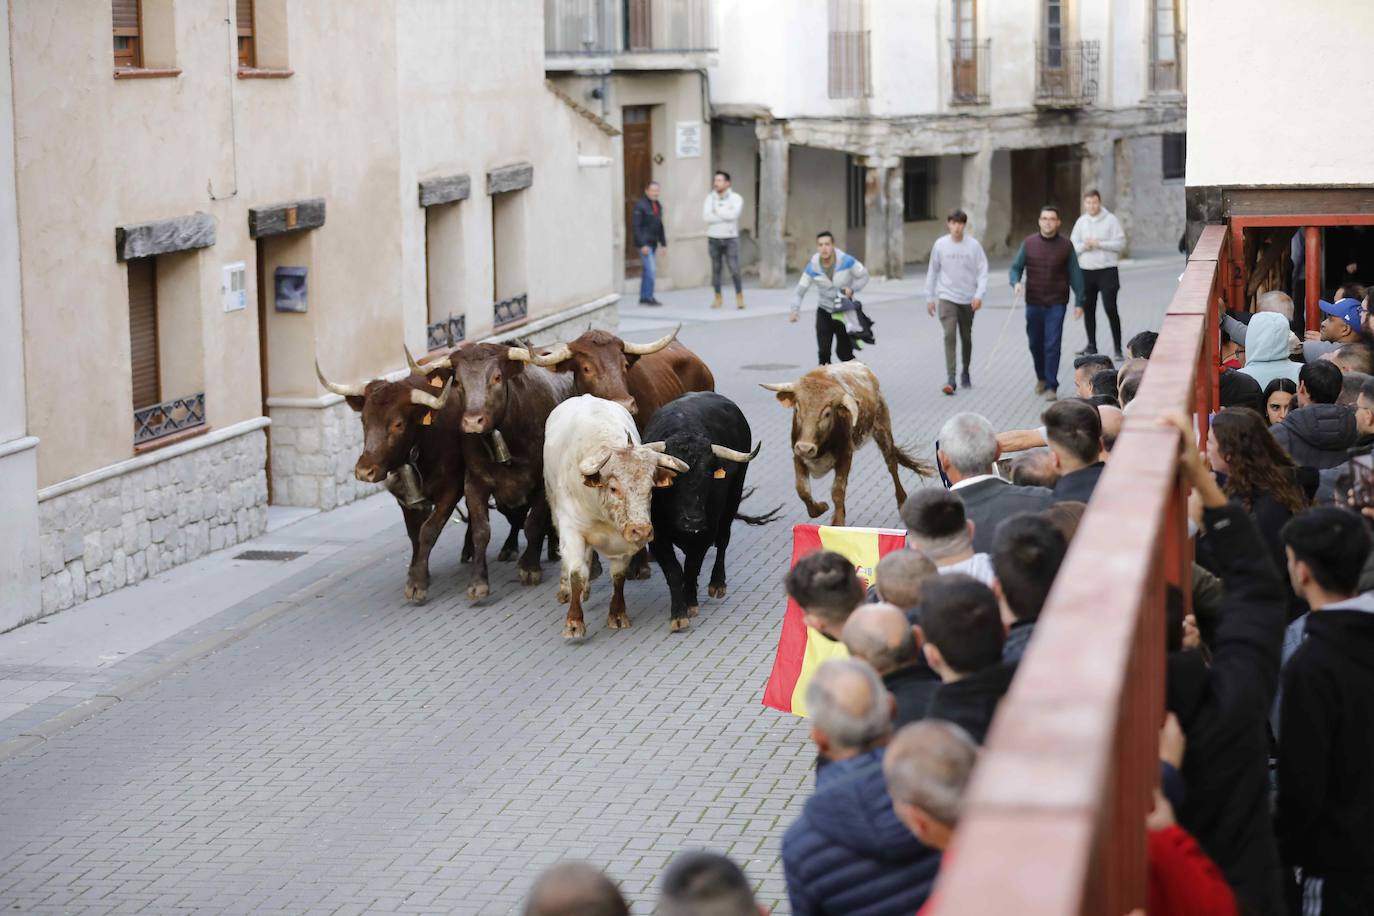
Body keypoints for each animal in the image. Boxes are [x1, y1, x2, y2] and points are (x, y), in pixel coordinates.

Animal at [640, 390, 780, 634]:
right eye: (673, 477)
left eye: (707, 475)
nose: (693, 520)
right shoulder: (657, 537)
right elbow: (674, 572)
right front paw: (679, 614)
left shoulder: (705, 533)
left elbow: (692, 566)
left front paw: (690, 603)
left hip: (733, 497)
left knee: (723, 539)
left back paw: (717, 583)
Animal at [763, 359, 934, 527]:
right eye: (797, 409)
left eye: (827, 413)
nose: (806, 448)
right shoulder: (797, 455)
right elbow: (802, 490)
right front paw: (821, 508)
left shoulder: (845, 456)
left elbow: (837, 491)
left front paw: (837, 523)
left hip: (883, 431)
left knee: (892, 465)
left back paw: (902, 502)